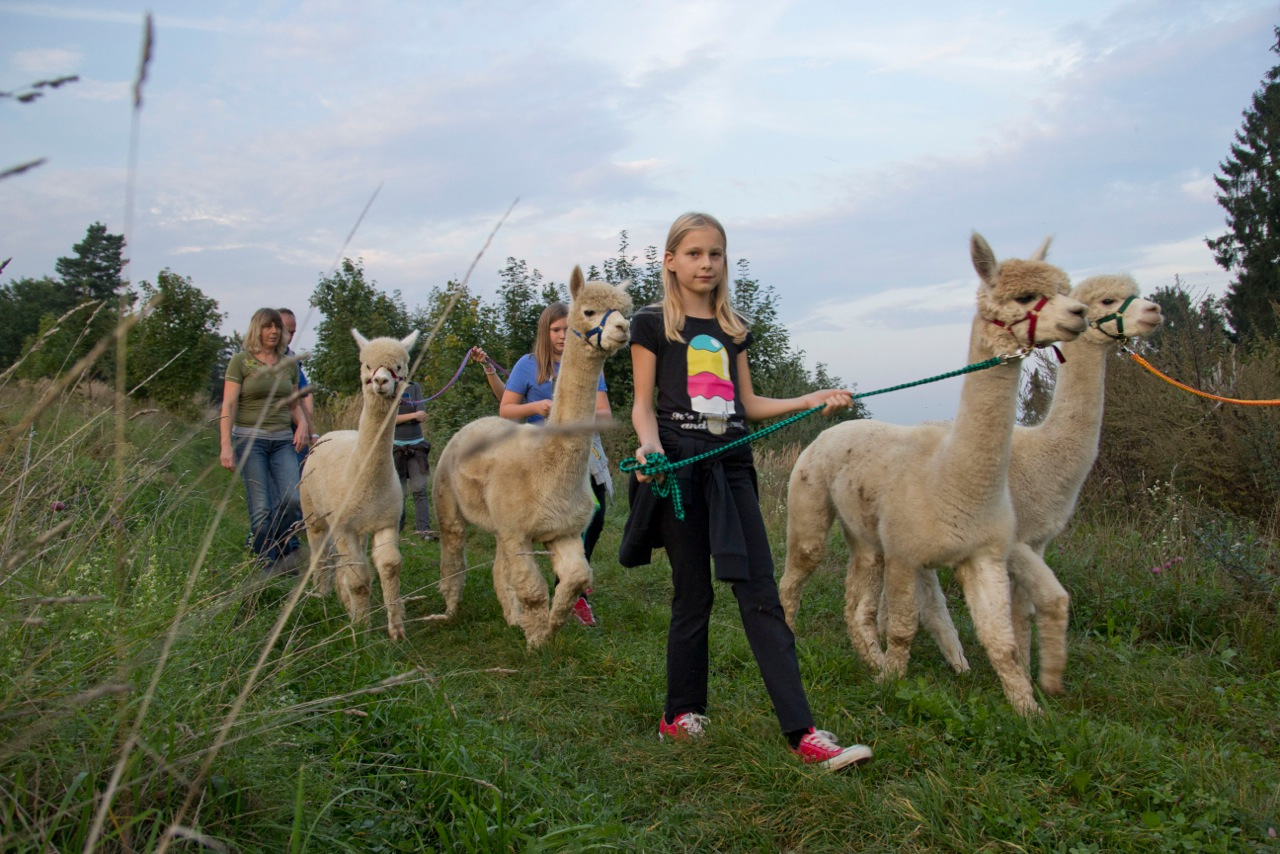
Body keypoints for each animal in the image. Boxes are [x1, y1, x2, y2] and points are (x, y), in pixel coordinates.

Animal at [300, 329, 419, 640]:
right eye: (367, 365)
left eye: (399, 366)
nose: (381, 381)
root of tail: (330, 434)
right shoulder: (343, 525)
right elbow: (358, 579)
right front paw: (362, 630)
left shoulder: (386, 521)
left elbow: (389, 567)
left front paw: (396, 629)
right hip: (313, 511)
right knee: (320, 554)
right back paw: (323, 595)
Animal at [431, 267, 632, 648]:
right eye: (589, 311)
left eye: (627, 310)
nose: (623, 328)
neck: (546, 466)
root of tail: (474, 424)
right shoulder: (519, 531)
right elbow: (535, 590)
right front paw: (537, 641)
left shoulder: (562, 530)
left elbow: (577, 578)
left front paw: (551, 624)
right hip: (447, 497)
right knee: (452, 552)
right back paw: (447, 612)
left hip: (500, 524)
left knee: (498, 566)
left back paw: (512, 618)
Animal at [779, 233, 1087, 715]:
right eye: (1024, 297)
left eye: (1066, 288)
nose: (1079, 314)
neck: (952, 481)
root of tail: (831, 429)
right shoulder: (908, 553)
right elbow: (905, 628)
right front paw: (893, 684)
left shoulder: (984, 554)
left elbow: (1002, 643)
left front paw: (1030, 711)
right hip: (809, 500)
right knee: (794, 578)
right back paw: (799, 642)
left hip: (866, 534)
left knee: (857, 603)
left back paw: (870, 661)